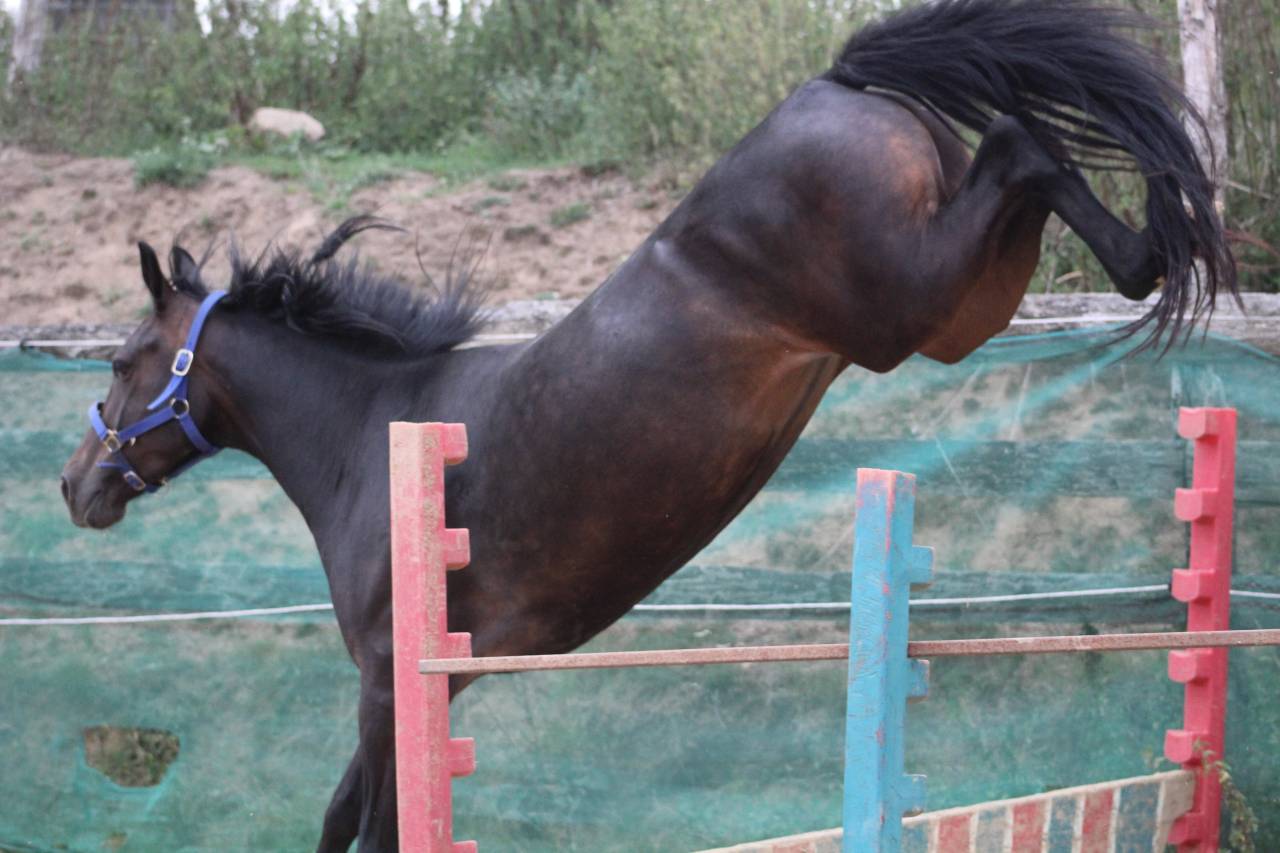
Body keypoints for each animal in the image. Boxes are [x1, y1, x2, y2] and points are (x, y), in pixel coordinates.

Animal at [59, 0, 1234, 848]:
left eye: (120, 362)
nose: (77, 484)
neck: (372, 436)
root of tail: (831, 82)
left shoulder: (392, 684)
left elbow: (373, 824)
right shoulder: (419, 688)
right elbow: (344, 814)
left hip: (914, 303)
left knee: (1021, 143)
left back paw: (1160, 233)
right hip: (957, 313)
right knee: (1036, 162)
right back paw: (1155, 243)